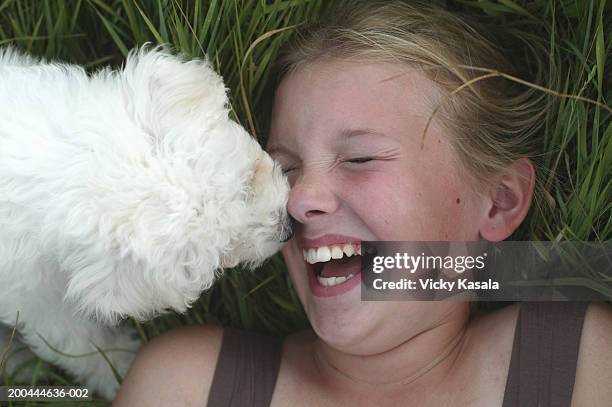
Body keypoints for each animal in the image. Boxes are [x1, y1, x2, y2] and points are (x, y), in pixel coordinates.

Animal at [0, 46, 292, 400]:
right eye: (224, 252)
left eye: (249, 181)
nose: (288, 230)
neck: (58, 168)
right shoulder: (41, 303)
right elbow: (84, 348)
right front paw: (123, 370)